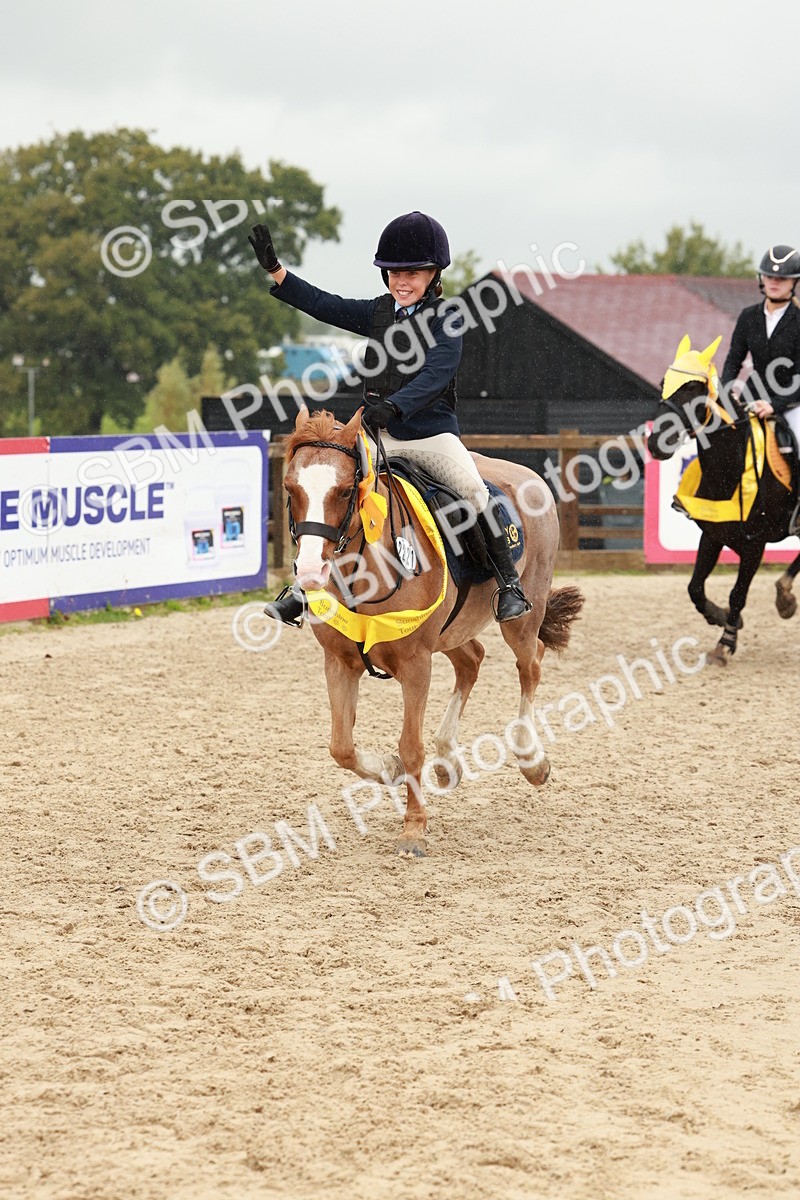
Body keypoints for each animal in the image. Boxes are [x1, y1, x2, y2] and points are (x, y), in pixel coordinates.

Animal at [281, 405, 584, 856]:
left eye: (344, 491)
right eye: (290, 488)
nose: (311, 572)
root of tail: (528, 475)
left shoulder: (415, 663)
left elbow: (410, 746)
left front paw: (413, 830)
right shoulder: (339, 661)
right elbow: (341, 746)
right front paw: (388, 770)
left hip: (521, 619)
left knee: (530, 667)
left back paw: (532, 759)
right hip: (452, 632)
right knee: (472, 661)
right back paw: (448, 760)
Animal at [647, 335, 800, 664]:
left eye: (694, 390)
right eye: (664, 383)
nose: (656, 444)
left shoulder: (755, 544)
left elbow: (737, 593)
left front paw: (725, 643)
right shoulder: (713, 532)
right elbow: (695, 588)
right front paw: (724, 618)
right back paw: (784, 596)